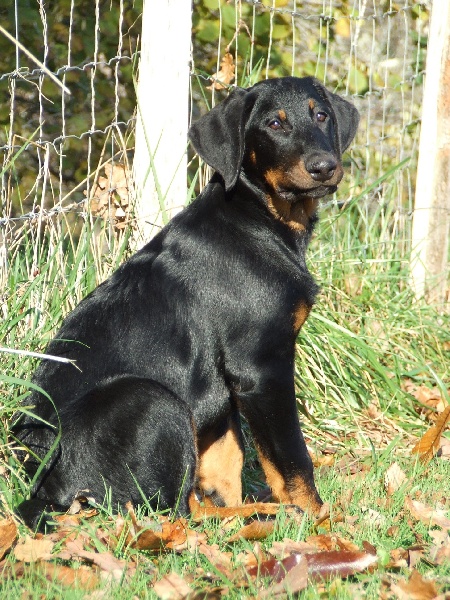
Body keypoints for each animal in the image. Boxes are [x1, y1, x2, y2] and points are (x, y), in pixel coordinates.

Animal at [14, 76, 358, 528]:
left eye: (321, 116)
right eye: (274, 124)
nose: (324, 166)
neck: (260, 218)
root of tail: (47, 492)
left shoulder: (225, 384)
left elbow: (226, 461)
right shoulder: (262, 366)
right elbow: (291, 460)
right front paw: (320, 521)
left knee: (189, 504)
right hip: (151, 400)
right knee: (171, 512)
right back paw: (267, 513)